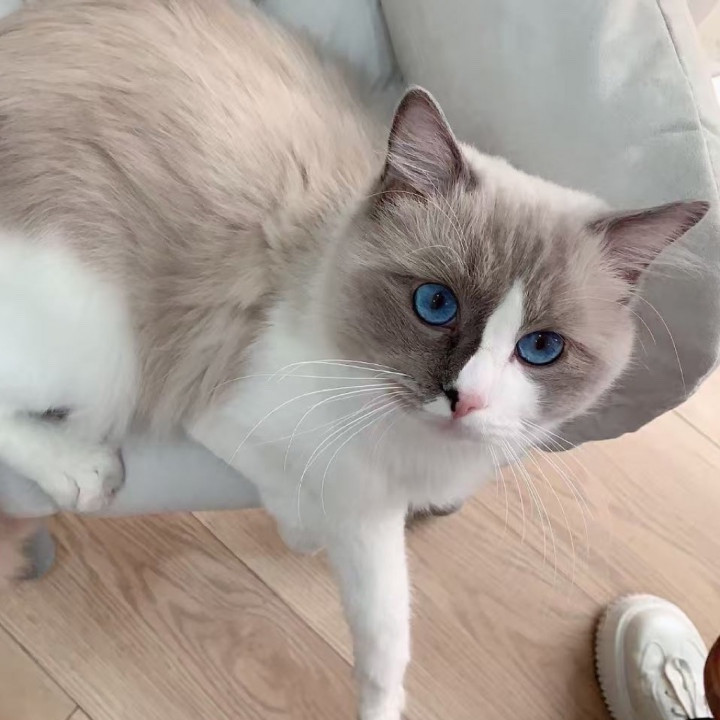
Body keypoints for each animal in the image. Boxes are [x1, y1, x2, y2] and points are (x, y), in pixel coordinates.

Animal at [0, 1, 708, 718]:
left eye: (540, 348)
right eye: (435, 304)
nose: (466, 398)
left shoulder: (375, 510)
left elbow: (385, 636)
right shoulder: (235, 417)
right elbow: (309, 505)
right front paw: (302, 533)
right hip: (103, 353)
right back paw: (81, 470)